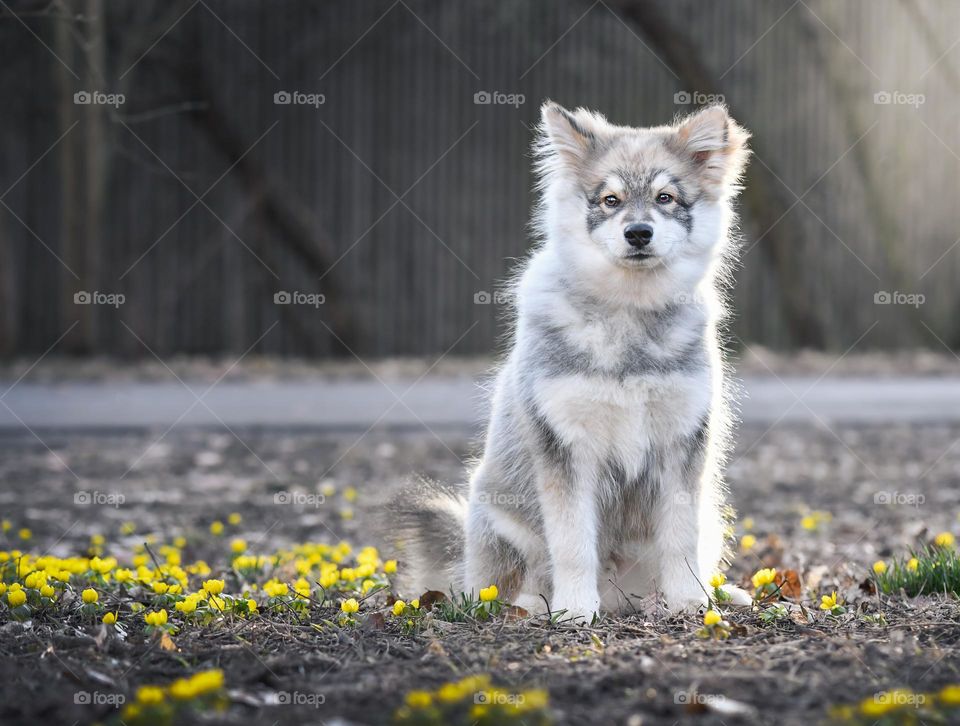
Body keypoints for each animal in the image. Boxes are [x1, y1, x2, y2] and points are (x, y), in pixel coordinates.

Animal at [394, 99, 752, 616]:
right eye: (610, 200)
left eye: (665, 197)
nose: (638, 233)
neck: (628, 314)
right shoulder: (566, 448)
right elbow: (573, 544)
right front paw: (576, 610)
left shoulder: (681, 445)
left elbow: (679, 541)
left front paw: (690, 603)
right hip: (498, 524)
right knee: (504, 585)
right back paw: (532, 604)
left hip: (711, 512)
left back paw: (712, 593)